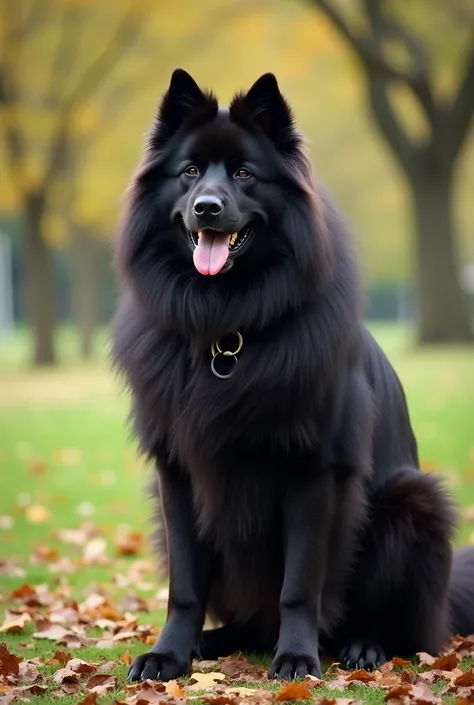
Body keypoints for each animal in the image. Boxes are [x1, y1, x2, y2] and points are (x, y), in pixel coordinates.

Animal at [112, 69, 474, 680]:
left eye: (244, 174)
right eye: (189, 172)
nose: (207, 208)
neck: (227, 327)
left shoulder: (311, 472)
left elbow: (299, 585)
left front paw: (298, 657)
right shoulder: (176, 472)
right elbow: (185, 585)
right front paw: (170, 653)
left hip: (411, 502)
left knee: (394, 628)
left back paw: (362, 646)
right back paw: (217, 640)